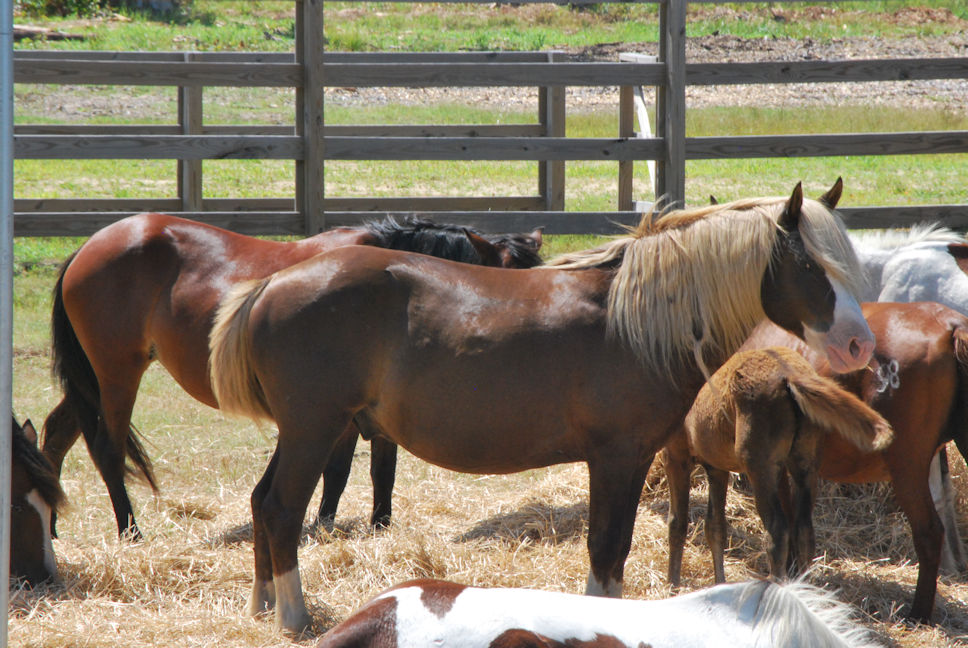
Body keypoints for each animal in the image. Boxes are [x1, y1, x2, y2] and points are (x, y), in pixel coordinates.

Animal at [41, 214, 544, 540]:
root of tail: (89, 245)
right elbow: (338, 472)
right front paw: (323, 526)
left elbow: (382, 470)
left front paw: (379, 527)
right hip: (117, 373)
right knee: (107, 448)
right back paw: (131, 532)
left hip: (94, 380)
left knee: (56, 433)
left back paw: (49, 526)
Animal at [664, 350, 892, 588]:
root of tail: (790, 375)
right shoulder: (717, 467)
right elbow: (715, 526)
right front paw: (719, 584)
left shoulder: (676, 457)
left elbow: (677, 523)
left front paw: (673, 586)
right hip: (805, 465)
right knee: (804, 532)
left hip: (760, 468)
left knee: (777, 532)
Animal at [732, 302, 968, 624]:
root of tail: (951, 326)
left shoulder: (771, 466)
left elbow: (786, 523)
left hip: (907, 465)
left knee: (929, 532)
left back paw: (917, 614)